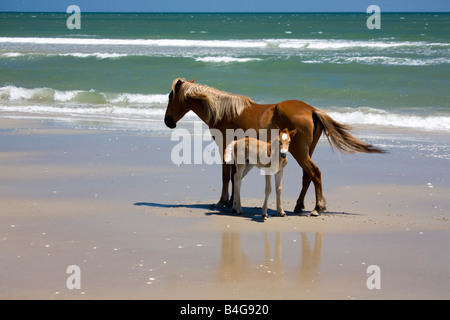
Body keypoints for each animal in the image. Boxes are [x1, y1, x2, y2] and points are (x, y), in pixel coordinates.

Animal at [163, 77, 384, 215]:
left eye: (169, 97)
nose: (168, 121)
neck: (225, 111)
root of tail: (311, 110)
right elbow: (235, 177)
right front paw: (233, 202)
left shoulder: (224, 147)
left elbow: (227, 176)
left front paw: (223, 201)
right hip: (306, 152)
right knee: (308, 176)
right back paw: (299, 206)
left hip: (299, 152)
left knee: (315, 173)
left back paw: (317, 208)